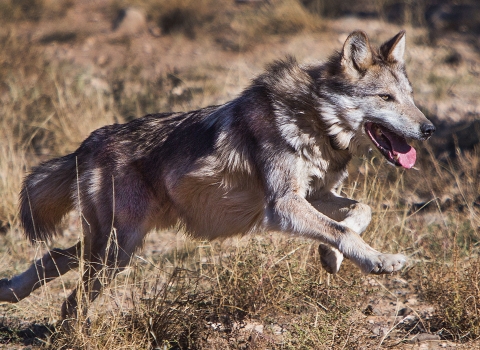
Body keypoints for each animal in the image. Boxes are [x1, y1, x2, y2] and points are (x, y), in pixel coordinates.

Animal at [0, 30, 436, 320]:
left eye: (410, 97)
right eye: (385, 98)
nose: (429, 129)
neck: (314, 120)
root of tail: (87, 143)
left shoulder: (313, 196)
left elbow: (359, 213)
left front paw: (330, 257)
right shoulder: (283, 206)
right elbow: (343, 229)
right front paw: (379, 261)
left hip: (116, 246)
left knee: (57, 257)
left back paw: (10, 291)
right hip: (116, 250)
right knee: (72, 297)